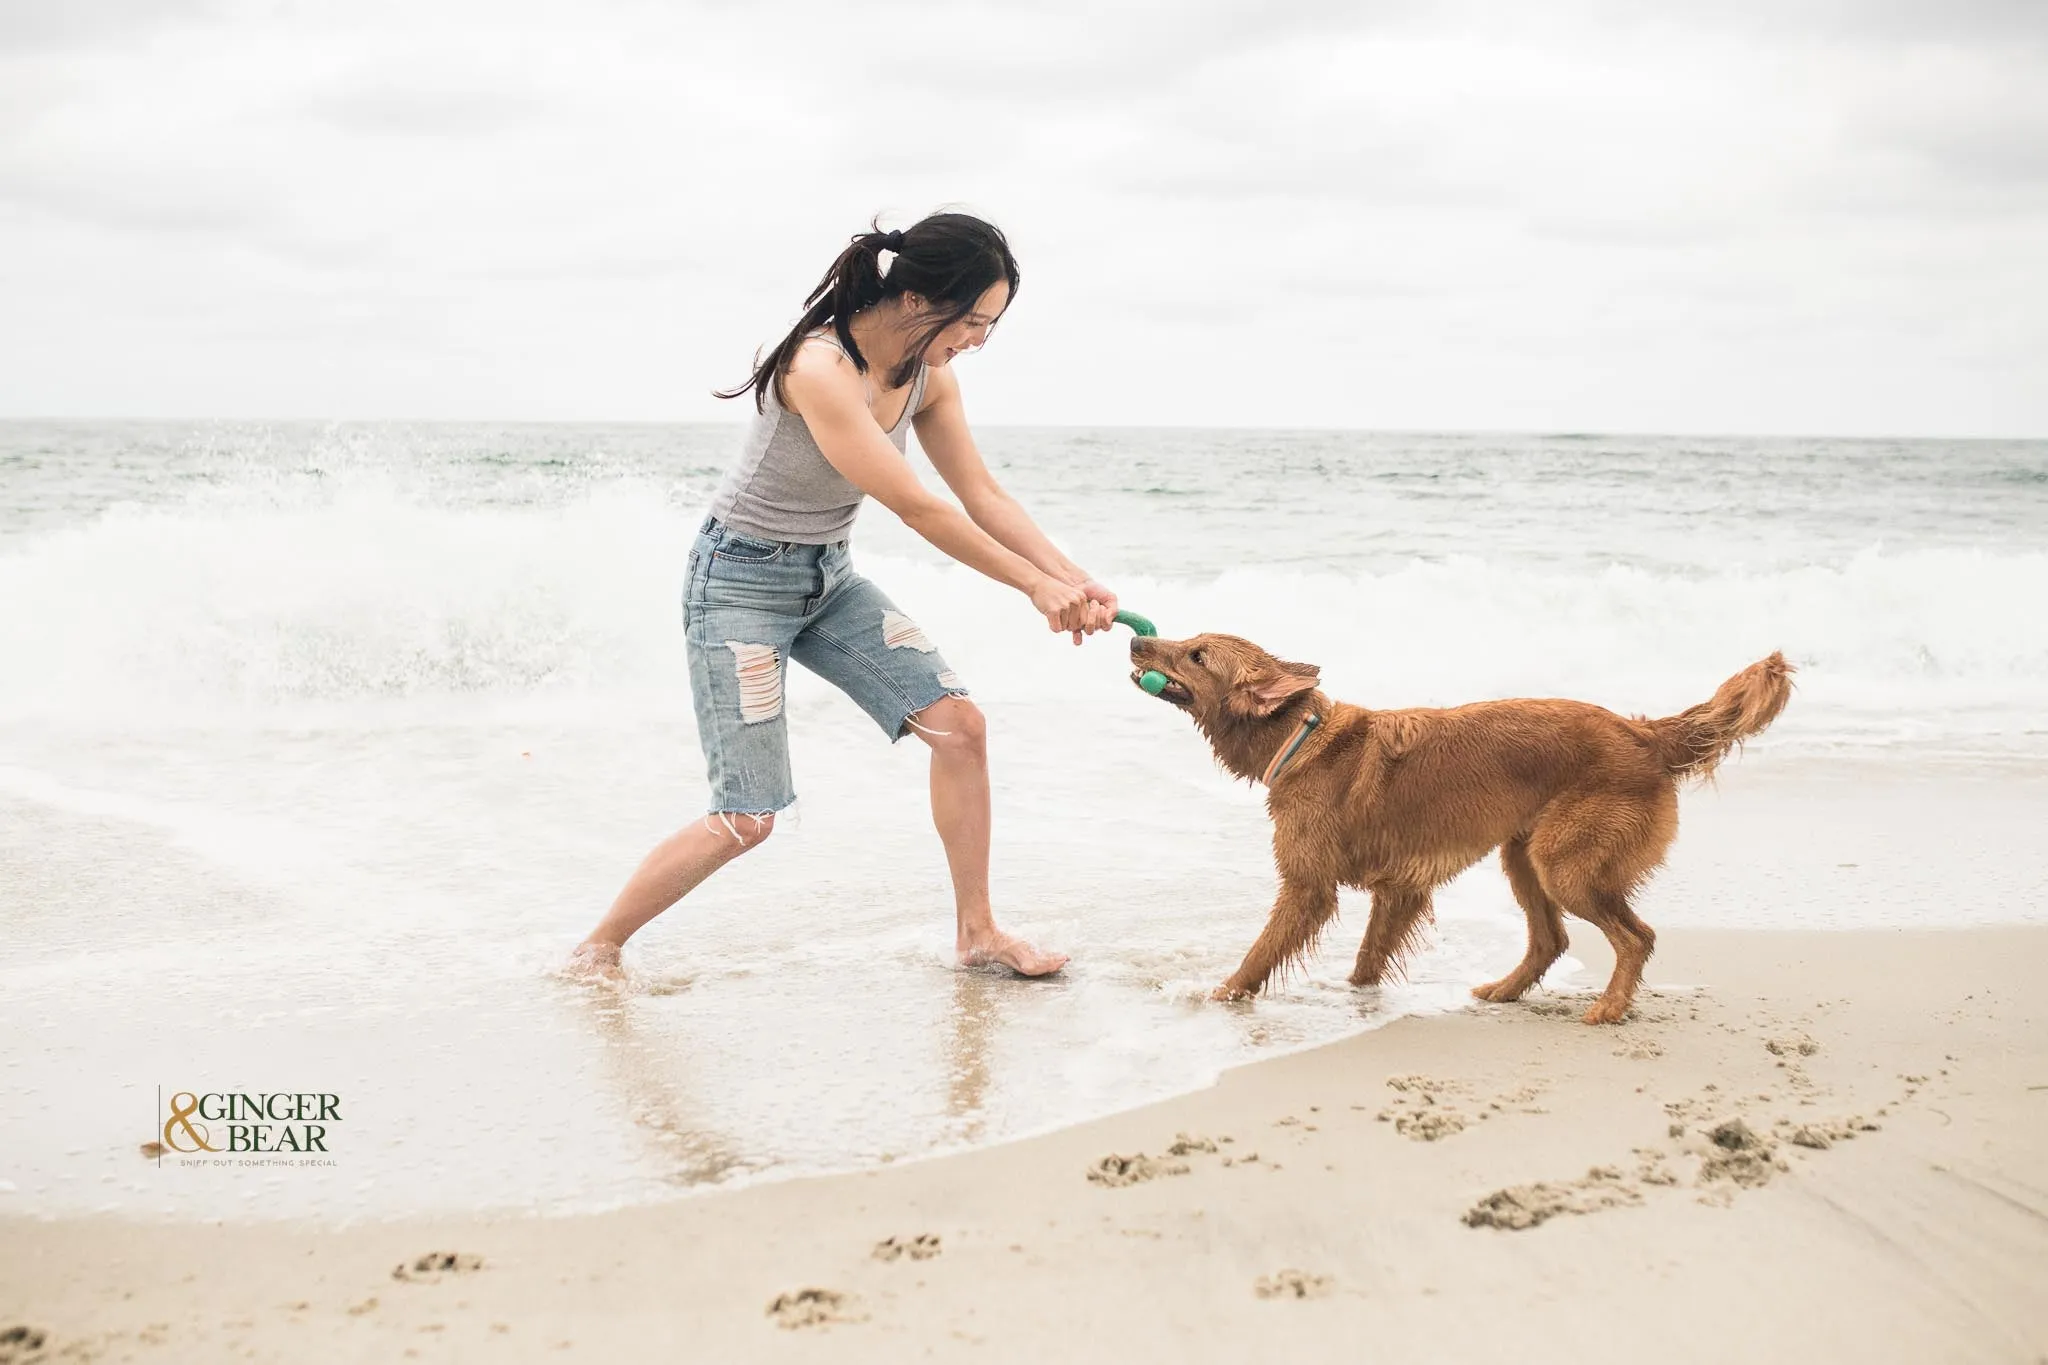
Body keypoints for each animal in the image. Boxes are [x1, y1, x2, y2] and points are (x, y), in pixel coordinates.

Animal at [1130, 638, 1785, 1023]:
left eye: (1196, 655)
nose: (1137, 638)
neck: (1302, 736)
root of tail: (1643, 733)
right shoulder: (1399, 890)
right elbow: (1367, 960)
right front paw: (1357, 996)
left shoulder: (1308, 887)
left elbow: (1261, 952)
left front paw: (1217, 995)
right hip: (1522, 856)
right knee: (1552, 940)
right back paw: (1504, 991)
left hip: (1564, 863)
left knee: (1635, 937)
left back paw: (1608, 1008)